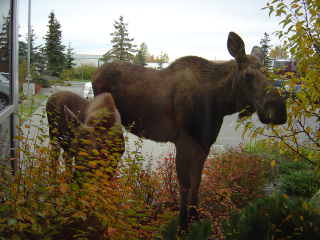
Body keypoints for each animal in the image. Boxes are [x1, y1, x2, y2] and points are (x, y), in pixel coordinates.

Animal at [91, 32, 286, 229]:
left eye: (270, 73)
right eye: (248, 75)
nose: (279, 111)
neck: (219, 104)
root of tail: (94, 74)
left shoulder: (205, 142)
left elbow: (197, 181)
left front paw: (194, 217)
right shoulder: (183, 141)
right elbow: (185, 184)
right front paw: (182, 223)